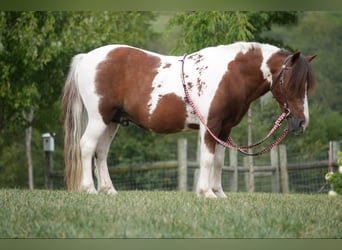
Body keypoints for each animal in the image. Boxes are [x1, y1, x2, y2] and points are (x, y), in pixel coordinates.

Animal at [62, 43, 316, 199]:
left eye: (306, 85)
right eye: (292, 83)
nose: (302, 123)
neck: (230, 75)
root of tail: (87, 58)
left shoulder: (224, 130)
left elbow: (218, 161)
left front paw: (219, 193)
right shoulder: (209, 127)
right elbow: (207, 159)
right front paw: (206, 193)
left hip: (112, 121)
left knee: (101, 153)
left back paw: (108, 190)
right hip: (99, 119)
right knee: (87, 147)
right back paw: (89, 189)